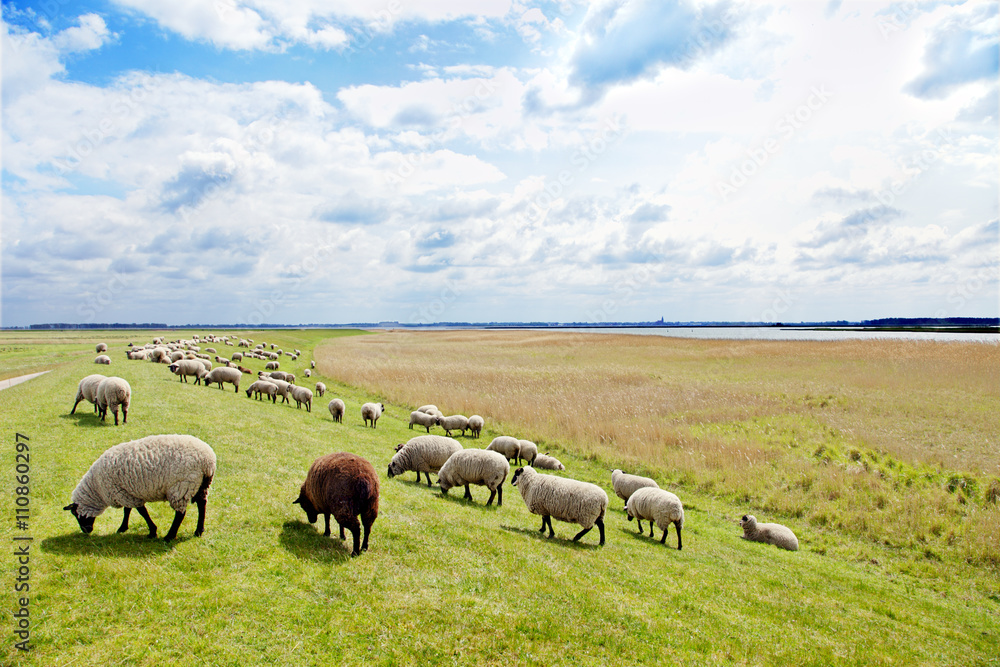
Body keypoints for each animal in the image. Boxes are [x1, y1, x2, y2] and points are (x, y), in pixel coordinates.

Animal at [63, 434, 216, 542]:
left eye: (76, 514)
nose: (86, 531)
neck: (97, 489)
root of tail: (208, 461)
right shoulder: (125, 492)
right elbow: (128, 510)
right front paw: (123, 528)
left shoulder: (122, 493)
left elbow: (142, 512)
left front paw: (152, 531)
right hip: (201, 485)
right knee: (202, 504)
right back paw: (198, 531)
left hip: (181, 487)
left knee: (180, 513)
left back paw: (169, 536)